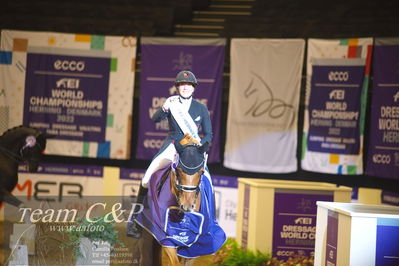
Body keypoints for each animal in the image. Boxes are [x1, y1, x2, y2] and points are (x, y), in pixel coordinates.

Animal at [134, 136, 227, 264]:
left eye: (201, 172)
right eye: (178, 171)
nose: (187, 206)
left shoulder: (195, 247)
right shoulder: (167, 237)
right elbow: (174, 261)